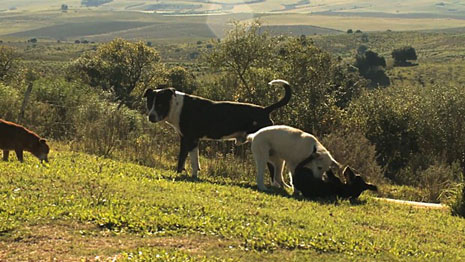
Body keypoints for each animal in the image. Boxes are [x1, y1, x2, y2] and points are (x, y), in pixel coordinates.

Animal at [145, 79, 290, 178]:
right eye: (149, 103)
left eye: (160, 104)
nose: (150, 116)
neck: (176, 107)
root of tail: (265, 110)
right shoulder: (192, 140)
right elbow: (193, 160)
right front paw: (192, 174)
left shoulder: (188, 139)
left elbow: (183, 160)